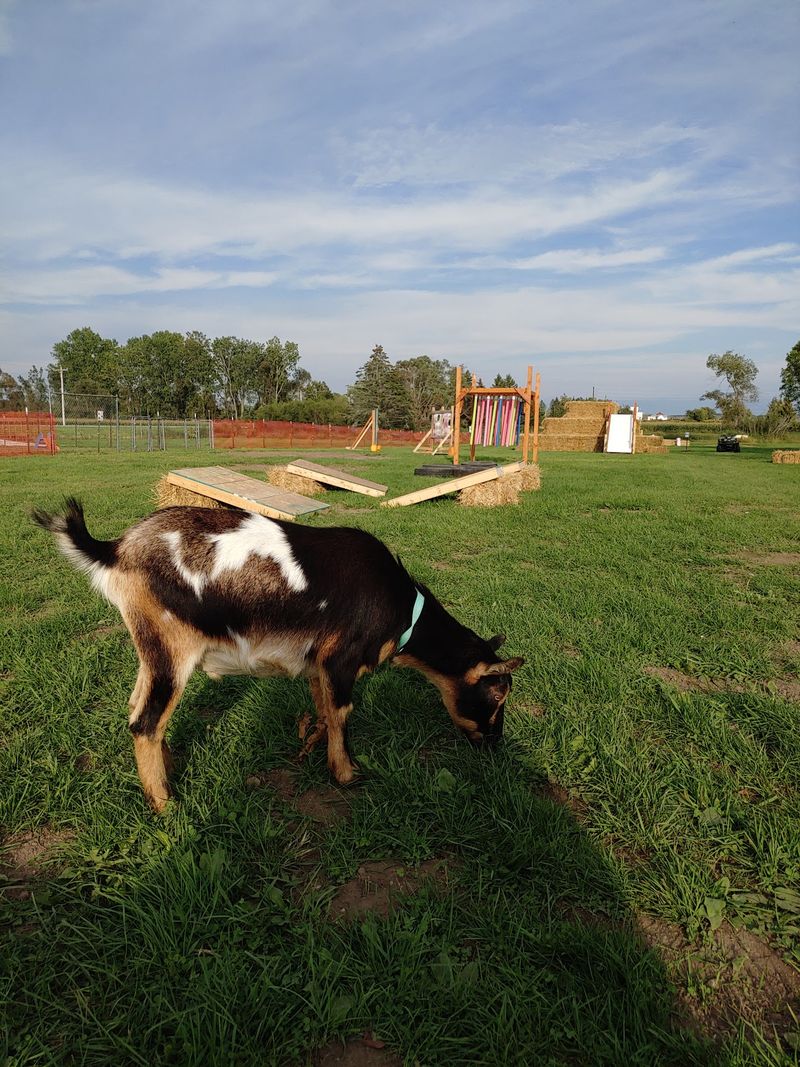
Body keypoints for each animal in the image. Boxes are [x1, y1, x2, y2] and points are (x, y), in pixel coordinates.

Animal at [33, 499, 524, 811]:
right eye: (498, 694)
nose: (495, 743)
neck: (402, 611)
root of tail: (115, 549)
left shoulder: (318, 662)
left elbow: (324, 709)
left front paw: (314, 746)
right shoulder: (342, 658)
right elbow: (343, 713)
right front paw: (347, 774)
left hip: (149, 648)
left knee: (136, 707)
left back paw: (167, 770)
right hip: (171, 646)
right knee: (146, 721)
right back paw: (164, 805)